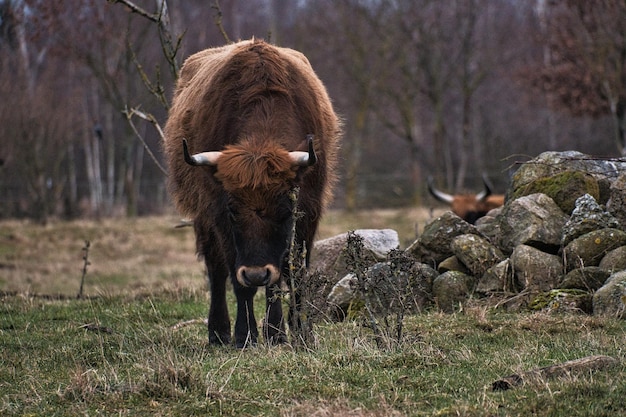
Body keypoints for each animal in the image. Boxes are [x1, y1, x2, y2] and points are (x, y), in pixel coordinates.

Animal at [161, 39, 336, 346]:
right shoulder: (217, 215)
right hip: (203, 219)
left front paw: (290, 331)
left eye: (285, 211)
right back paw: (218, 332)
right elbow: (236, 278)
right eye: (233, 210)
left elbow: (291, 273)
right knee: (217, 270)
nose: (255, 274)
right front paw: (246, 335)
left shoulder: (308, 213)